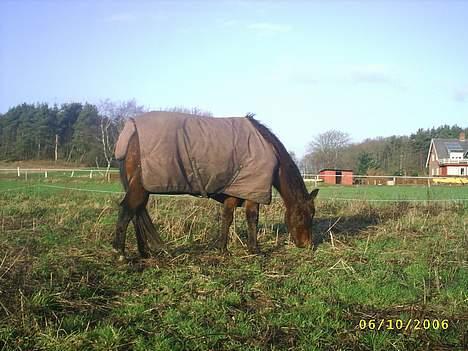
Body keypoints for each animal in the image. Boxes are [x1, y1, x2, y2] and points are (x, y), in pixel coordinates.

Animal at [111, 111, 320, 260]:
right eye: (303, 216)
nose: (307, 245)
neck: (267, 148)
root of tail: (131, 132)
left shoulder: (236, 192)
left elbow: (227, 218)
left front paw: (223, 248)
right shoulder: (251, 193)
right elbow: (251, 218)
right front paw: (254, 250)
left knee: (137, 213)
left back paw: (145, 252)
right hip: (140, 187)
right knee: (127, 211)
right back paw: (120, 253)